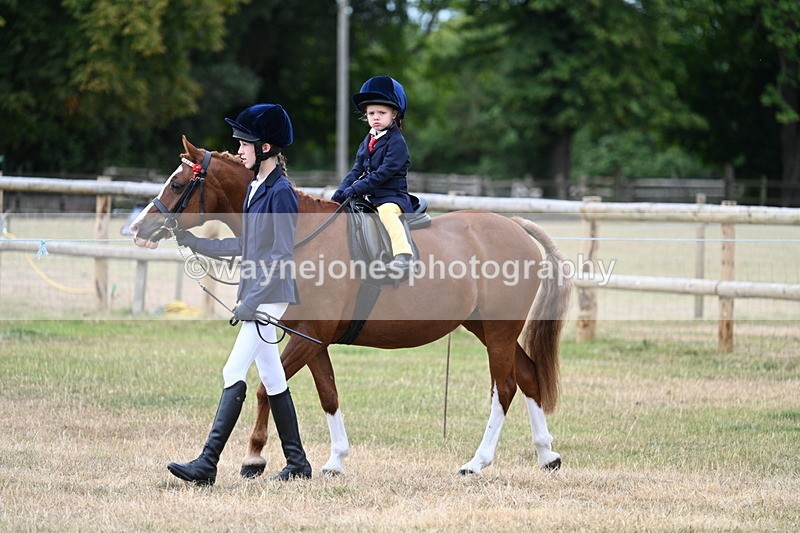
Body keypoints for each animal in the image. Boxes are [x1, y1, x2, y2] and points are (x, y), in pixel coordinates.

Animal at [130, 136, 572, 476]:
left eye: (178, 184)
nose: (138, 228)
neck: (300, 234)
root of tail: (514, 225)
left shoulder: (309, 336)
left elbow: (263, 390)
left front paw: (255, 458)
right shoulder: (311, 339)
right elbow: (327, 394)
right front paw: (335, 461)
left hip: (498, 331)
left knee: (506, 387)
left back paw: (478, 462)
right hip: (486, 328)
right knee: (528, 376)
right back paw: (547, 454)